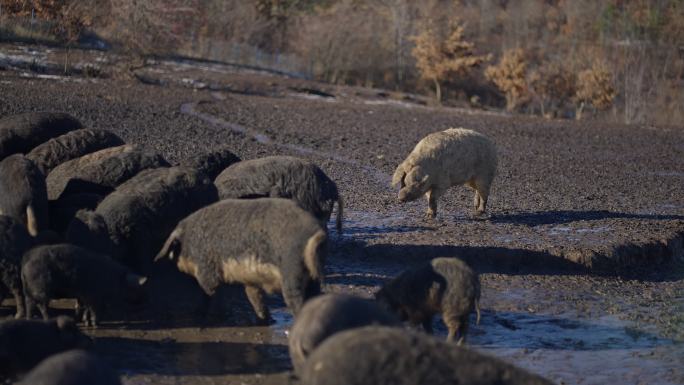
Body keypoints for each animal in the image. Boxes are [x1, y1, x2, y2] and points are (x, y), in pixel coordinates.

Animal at [156, 198, 328, 320]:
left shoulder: (206, 269)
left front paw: (202, 314)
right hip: (312, 277)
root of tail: (315, 231)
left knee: (297, 302)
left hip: (291, 270)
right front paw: (265, 320)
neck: (189, 241)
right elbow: (254, 298)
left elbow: (209, 292)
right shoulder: (250, 282)